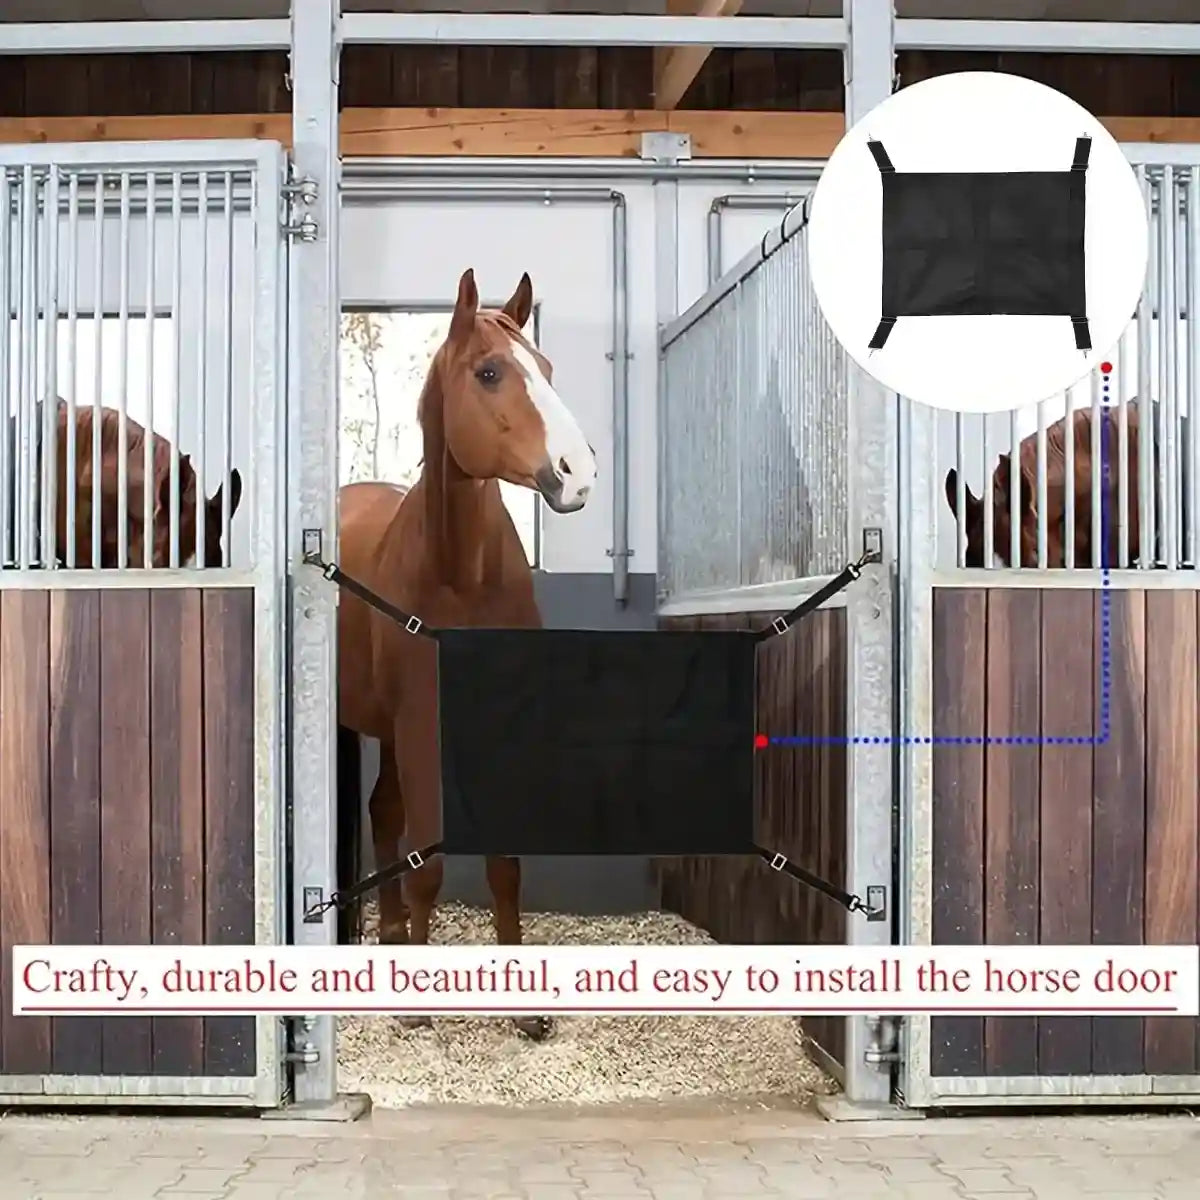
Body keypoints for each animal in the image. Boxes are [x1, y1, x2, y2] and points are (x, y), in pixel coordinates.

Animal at [335, 268, 597, 1042]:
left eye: (546, 368)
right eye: (488, 373)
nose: (578, 472)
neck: (462, 576)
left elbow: (505, 863)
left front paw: (529, 1010)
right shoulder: (424, 721)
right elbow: (427, 858)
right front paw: (418, 1004)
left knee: (384, 812)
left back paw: (393, 932)